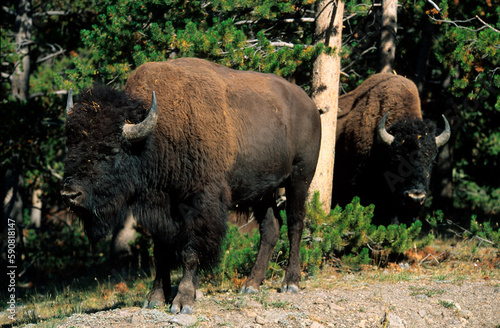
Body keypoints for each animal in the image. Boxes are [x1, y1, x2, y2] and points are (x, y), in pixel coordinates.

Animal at [60, 57, 322, 314]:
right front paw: (155, 298)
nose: (70, 194)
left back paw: (290, 282)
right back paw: (250, 285)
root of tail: (309, 104)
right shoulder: (160, 209)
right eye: (70, 146)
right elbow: (161, 251)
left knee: (295, 223)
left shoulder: (199, 204)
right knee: (270, 227)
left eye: (110, 150)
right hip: (262, 191)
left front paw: (183, 301)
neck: (154, 137)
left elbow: (189, 251)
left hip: (299, 178)